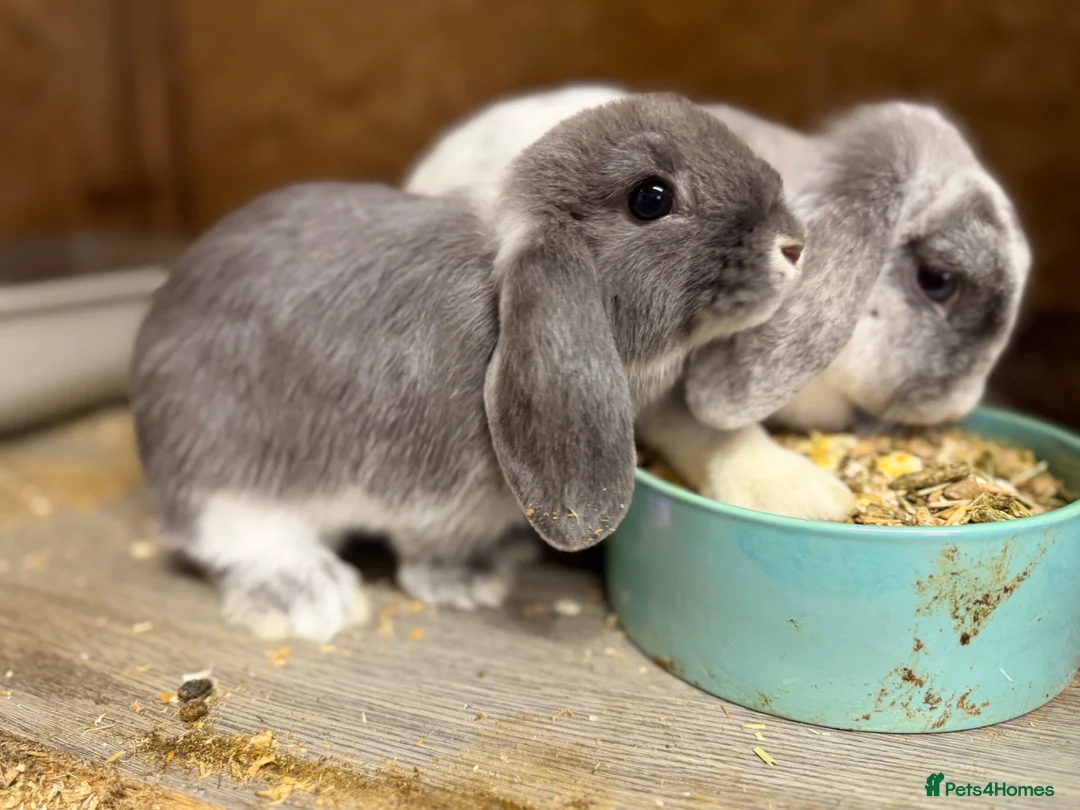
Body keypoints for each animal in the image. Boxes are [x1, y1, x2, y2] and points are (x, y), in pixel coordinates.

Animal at [129, 92, 805, 642]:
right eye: (651, 198)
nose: (794, 245)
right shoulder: (428, 500)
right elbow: (427, 551)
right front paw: (469, 585)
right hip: (227, 477)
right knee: (232, 539)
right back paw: (306, 597)